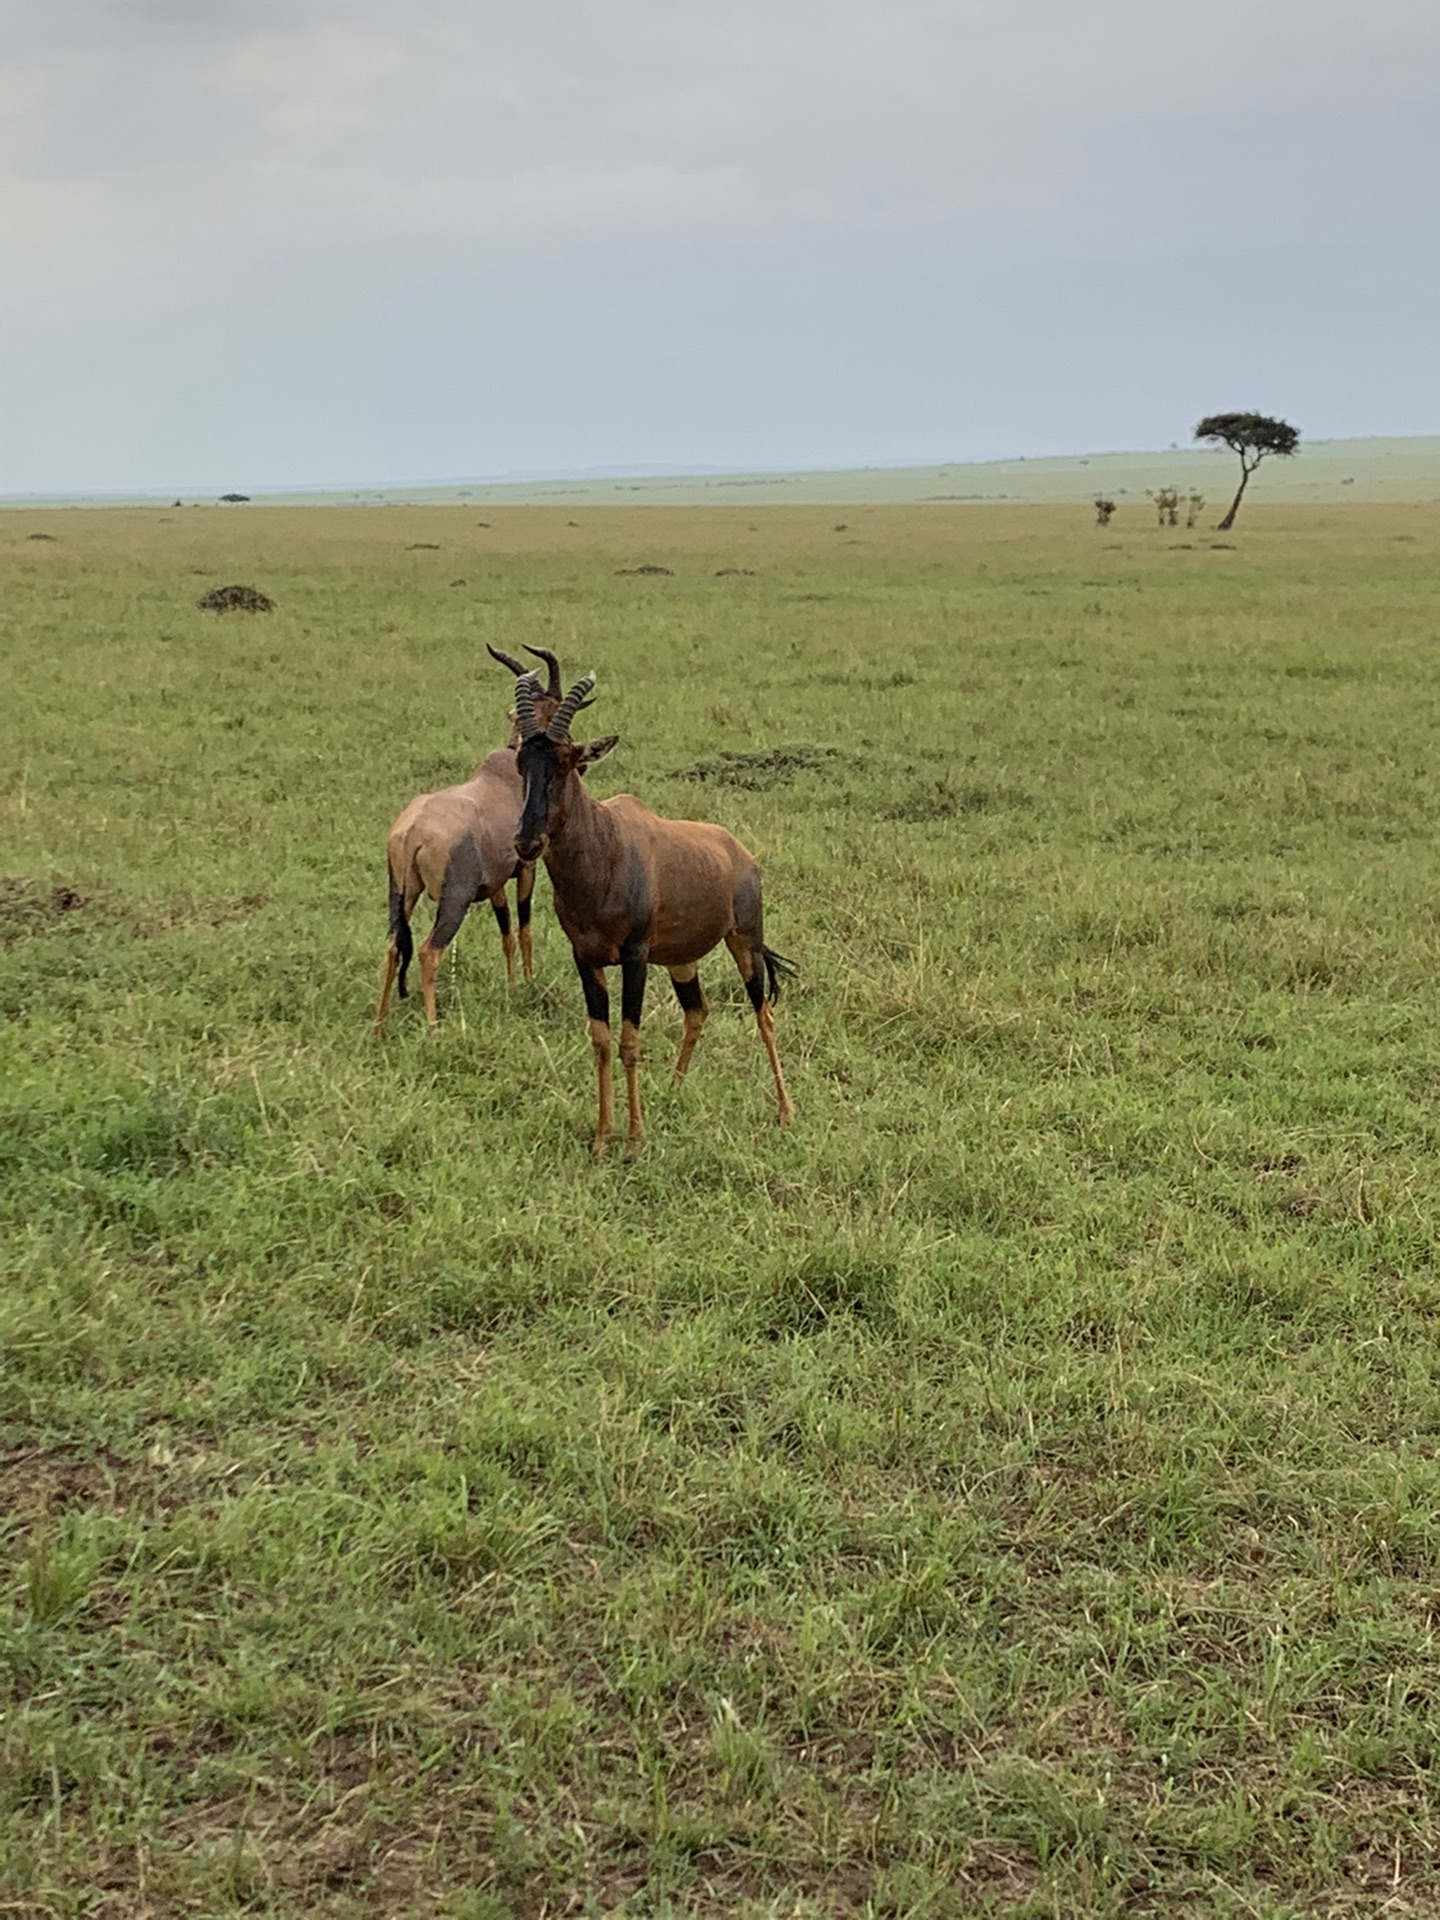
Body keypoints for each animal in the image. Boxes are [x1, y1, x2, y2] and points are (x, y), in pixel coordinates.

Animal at [380, 645, 579, 1036]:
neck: (508, 776)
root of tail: (412, 833)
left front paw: (513, 985)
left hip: (401, 893)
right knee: (428, 951)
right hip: (454, 901)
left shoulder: (496, 883)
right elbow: (525, 929)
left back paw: (379, 1023)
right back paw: (434, 1026)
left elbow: (506, 934)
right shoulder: (527, 867)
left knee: (394, 947)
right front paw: (528, 983)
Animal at [510, 672, 802, 1152]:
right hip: (682, 960)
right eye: (521, 764)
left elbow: (629, 1040)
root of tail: (739, 853)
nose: (526, 842)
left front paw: (634, 1138)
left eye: (566, 762)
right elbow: (601, 1040)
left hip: (745, 943)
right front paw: (602, 1138)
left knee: (765, 1016)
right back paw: (673, 1091)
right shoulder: (585, 959)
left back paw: (785, 1110)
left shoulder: (635, 957)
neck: (606, 848)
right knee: (697, 1012)